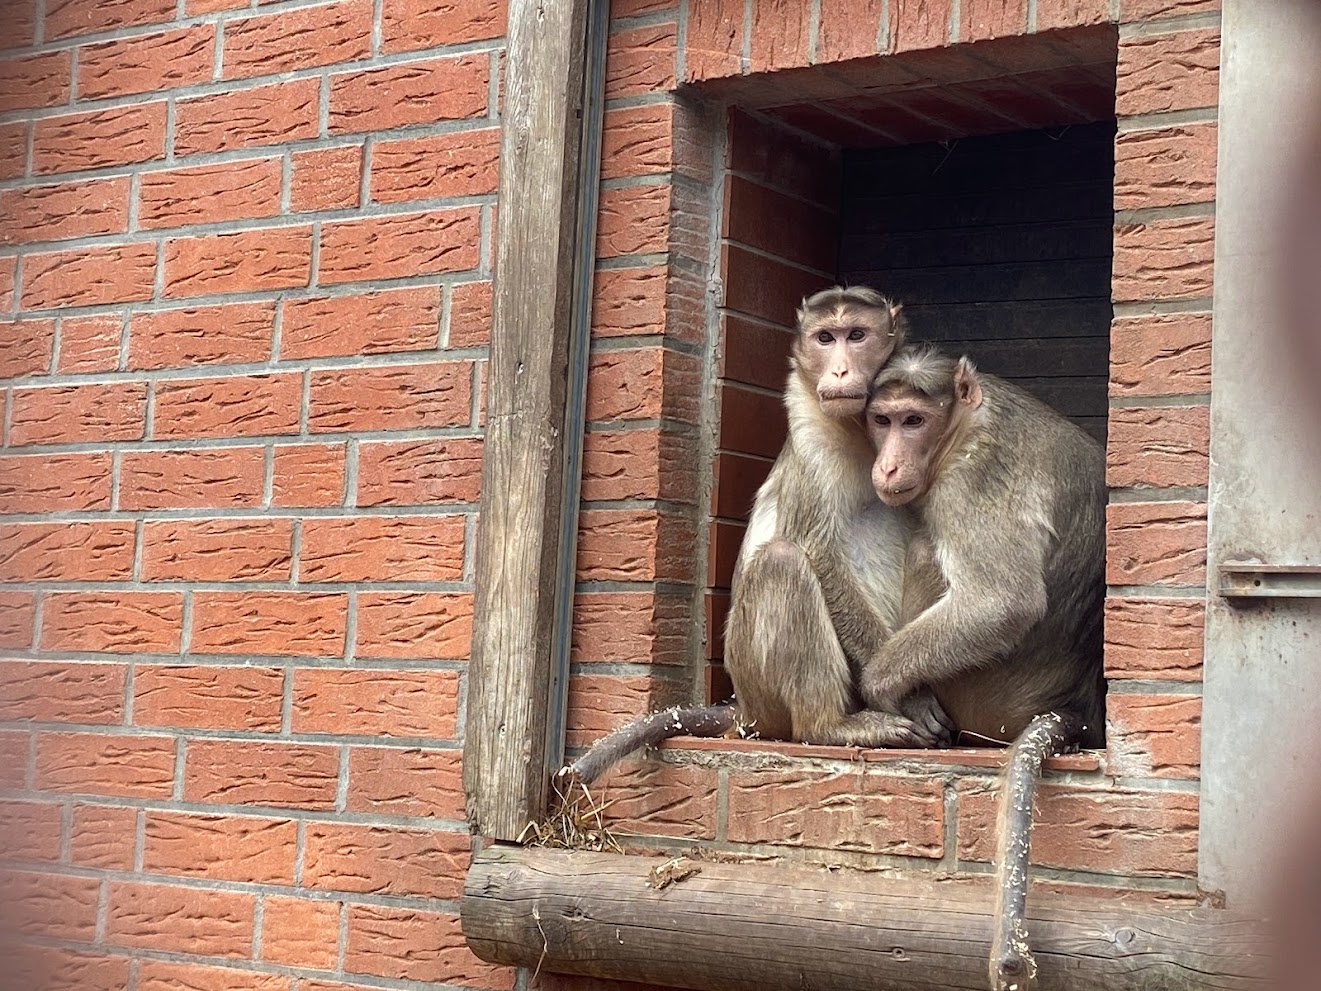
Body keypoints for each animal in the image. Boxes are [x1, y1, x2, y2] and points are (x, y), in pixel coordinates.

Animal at [558, 288, 953, 788]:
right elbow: (819, 554)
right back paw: (831, 726)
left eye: (857, 335)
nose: (841, 371)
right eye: (826, 338)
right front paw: (913, 697)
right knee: (782, 562)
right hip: (759, 683)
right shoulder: (811, 442)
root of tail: (744, 708)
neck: (859, 432)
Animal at [858, 345, 1106, 990]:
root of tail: (1072, 706)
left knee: (928, 547)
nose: (888, 465)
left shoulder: (971, 483)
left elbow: (1002, 601)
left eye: (913, 421)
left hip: (984, 700)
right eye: (882, 420)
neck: (964, 426)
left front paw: (883, 686)